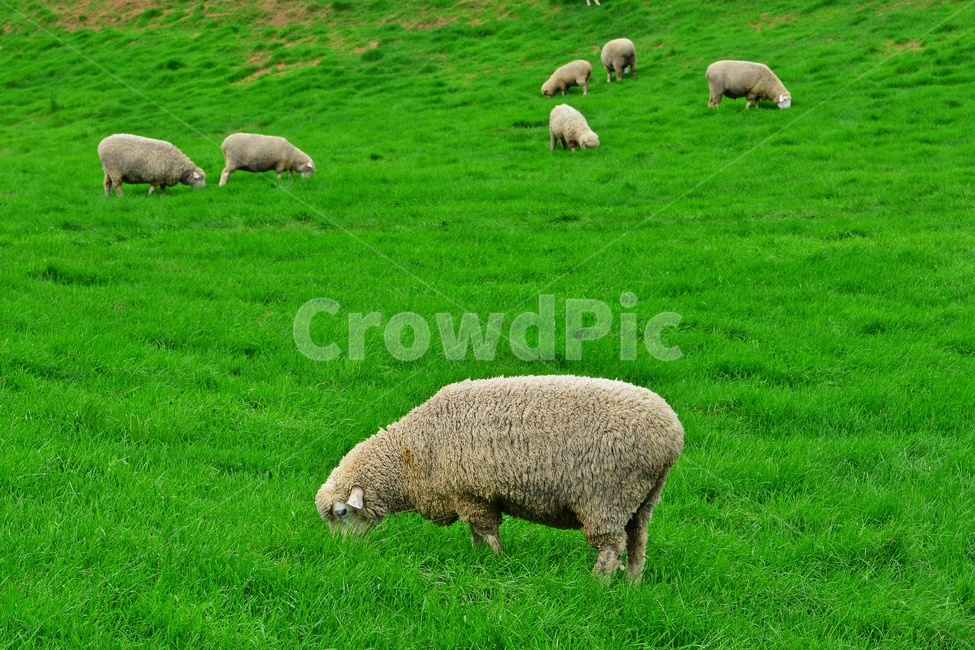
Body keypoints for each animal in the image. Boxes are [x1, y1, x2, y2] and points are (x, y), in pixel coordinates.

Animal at [315, 375, 684, 582]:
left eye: (342, 513)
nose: (341, 553)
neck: (411, 455)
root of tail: (672, 434)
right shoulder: (465, 495)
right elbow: (476, 533)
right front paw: (477, 558)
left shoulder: (474, 494)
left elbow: (488, 533)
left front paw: (495, 563)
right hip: (643, 498)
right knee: (637, 542)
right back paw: (633, 584)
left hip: (607, 497)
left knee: (611, 547)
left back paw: (597, 584)